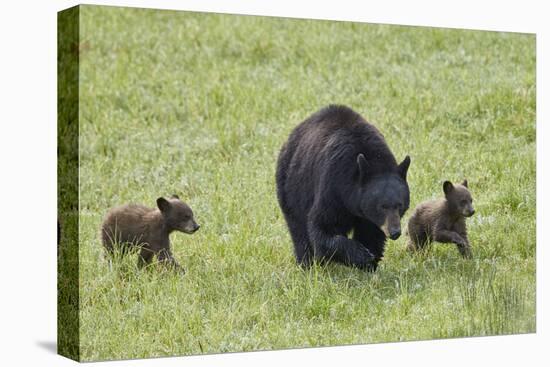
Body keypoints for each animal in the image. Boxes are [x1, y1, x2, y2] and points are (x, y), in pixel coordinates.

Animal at [278, 105, 412, 272]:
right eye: (382, 207)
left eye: (400, 205)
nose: (395, 232)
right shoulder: (333, 185)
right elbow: (321, 227)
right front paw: (361, 255)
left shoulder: (367, 216)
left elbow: (371, 234)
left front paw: (369, 263)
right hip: (291, 187)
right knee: (298, 229)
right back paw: (307, 263)